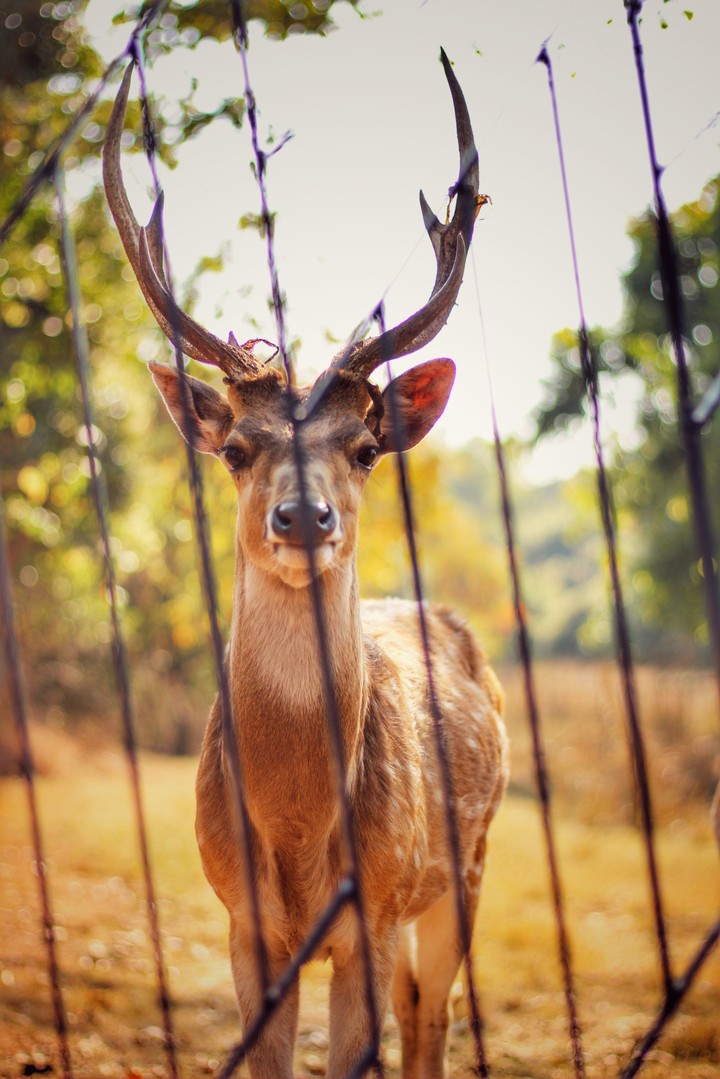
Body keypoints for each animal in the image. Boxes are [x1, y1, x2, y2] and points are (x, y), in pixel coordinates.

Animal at [103, 50, 508, 1079]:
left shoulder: (373, 913)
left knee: (433, 1013)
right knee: (422, 1006)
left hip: (468, 861)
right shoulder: (242, 921)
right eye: (237, 447)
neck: (295, 831)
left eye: (362, 448)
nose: (302, 514)